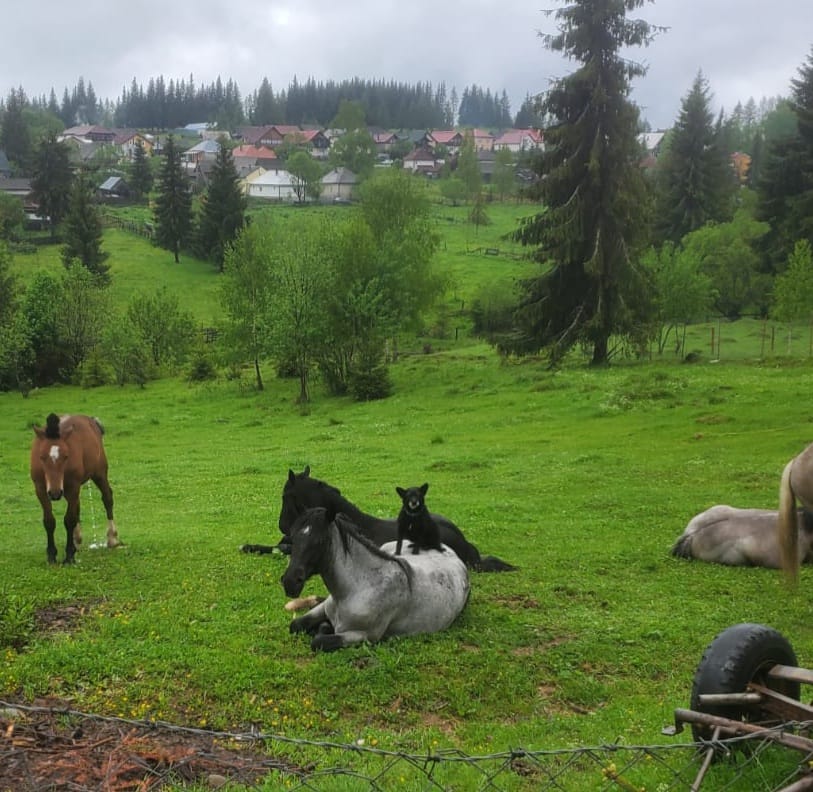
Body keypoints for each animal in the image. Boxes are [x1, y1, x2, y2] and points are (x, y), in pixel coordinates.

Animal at [30, 414, 119, 564]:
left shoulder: (73, 487)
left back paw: (112, 538)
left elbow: (69, 519)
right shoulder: (41, 489)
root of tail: (91, 420)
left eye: (66, 456)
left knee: (107, 497)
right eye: (41, 457)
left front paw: (69, 556)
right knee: (77, 506)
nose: (55, 494)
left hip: (99, 473)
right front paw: (51, 555)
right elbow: (49, 521)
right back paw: (76, 540)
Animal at [282, 508, 470, 648]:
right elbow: (295, 625)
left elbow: (319, 641)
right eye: (292, 538)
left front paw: (324, 628)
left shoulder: (365, 636)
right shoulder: (323, 608)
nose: (290, 582)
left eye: (319, 541)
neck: (359, 588)